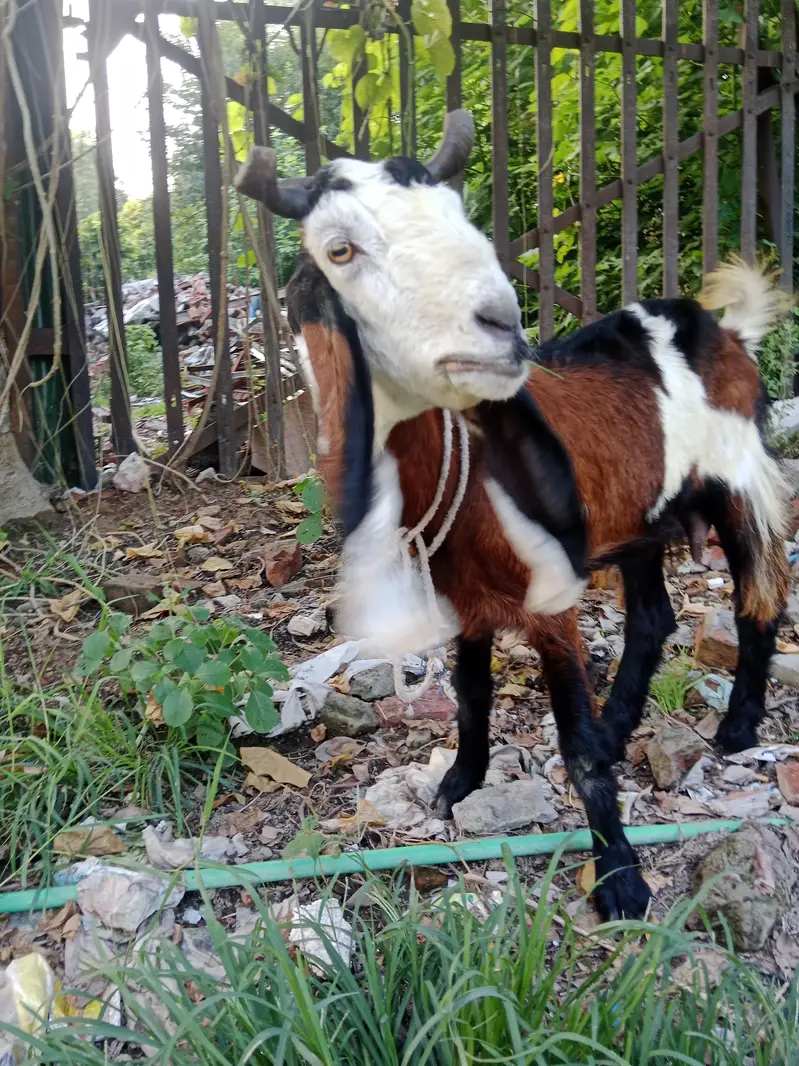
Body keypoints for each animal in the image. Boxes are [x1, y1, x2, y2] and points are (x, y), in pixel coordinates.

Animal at [236, 125, 790, 923]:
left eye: (460, 218)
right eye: (339, 249)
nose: (501, 326)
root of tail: (725, 330)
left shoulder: (550, 599)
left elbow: (574, 745)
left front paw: (620, 880)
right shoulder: (462, 597)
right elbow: (471, 696)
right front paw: (457, 785)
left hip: (739, 478)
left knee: (758, 599)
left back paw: (738, 725)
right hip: (637, 515)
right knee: (653, 618)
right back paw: (621, 723)